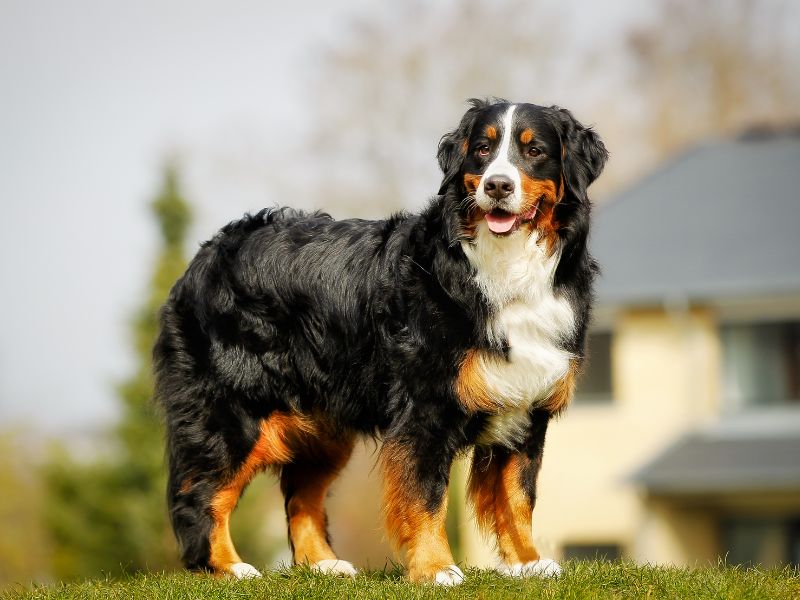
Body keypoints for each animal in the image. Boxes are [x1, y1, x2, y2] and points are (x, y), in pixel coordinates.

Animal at [153, 99, 608, 584]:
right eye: (482, 150)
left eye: (535, 150)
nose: (498, 185)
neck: (505, 267)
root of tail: (207, 253)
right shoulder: (425, 408)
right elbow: (426, 495)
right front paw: (436, 568)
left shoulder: (527, 406)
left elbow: (519, 496)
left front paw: (527, 563)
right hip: (233, 411)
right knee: (201, 493)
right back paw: (227, 567)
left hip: (323, 424)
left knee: (301, 494)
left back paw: (324, 564)